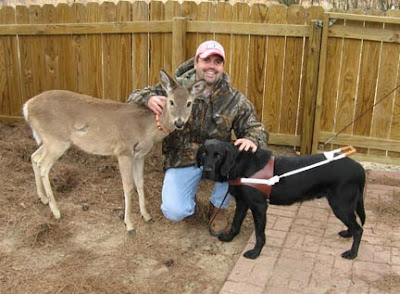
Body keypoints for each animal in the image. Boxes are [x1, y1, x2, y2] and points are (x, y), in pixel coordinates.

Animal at [23, 70, 205, 233]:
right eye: (171, 101)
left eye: (189, 103)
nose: (179, 123)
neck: (147, 128)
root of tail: (27, 106)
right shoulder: (123, 151)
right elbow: (128, 187)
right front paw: (129, 225)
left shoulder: (140, 155)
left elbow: (140, 183)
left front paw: (146, 216)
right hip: (56, 140)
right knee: (43, 165)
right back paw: (56, 212)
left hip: (50, 140)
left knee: (34, 157)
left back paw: (43, 198)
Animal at [197, 140, 366, 260]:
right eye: (204, 153)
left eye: (218, 155)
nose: (206, 171)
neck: (240, 164)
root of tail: (359, 167)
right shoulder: (242, 202)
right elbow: (235, 223)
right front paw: (229, 237)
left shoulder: (259, 206)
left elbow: (259, 234)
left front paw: (255, 253)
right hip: (345, 205)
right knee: (354, 224)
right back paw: (348, 233)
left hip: (340, 205)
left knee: (359, 229)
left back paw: (352, 253)